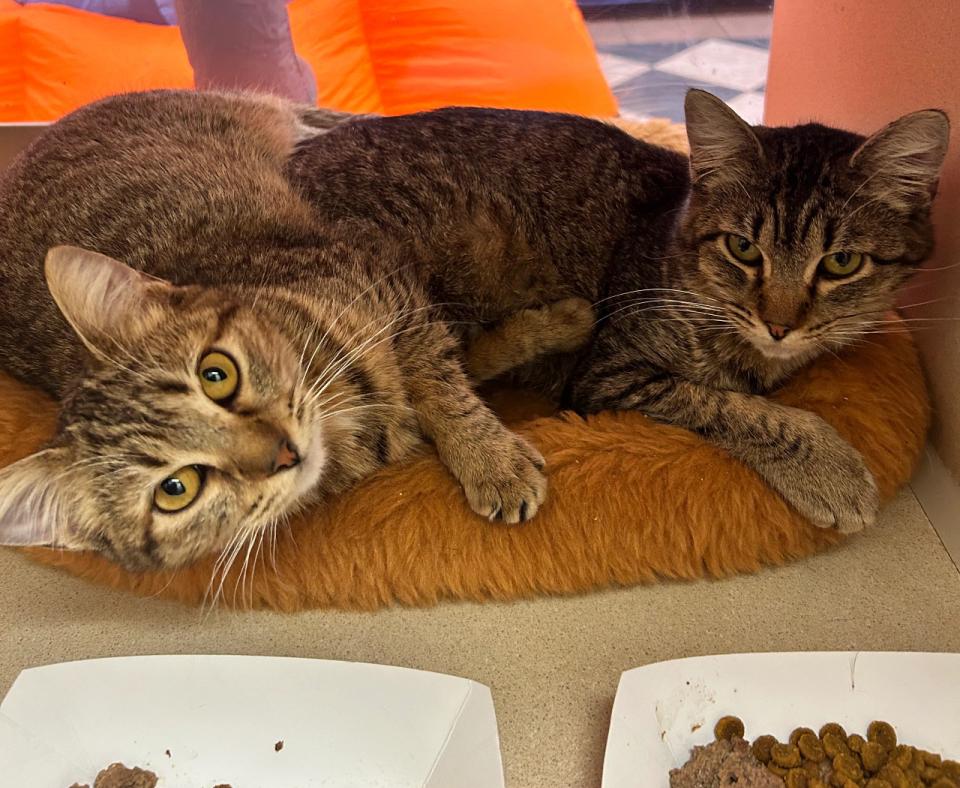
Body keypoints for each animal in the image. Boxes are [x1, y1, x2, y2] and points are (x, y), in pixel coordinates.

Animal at [0, 92, 592, 568]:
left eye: (216, 374)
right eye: (176, 489)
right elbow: (467, 360)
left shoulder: (388, 284)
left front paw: (491, 455)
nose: (282, 453)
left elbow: (443, 384)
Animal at [286, 92, 952, 536]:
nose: (780, 325)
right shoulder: (613, 373)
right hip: (387, 277)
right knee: (432, 365)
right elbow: (739, 408)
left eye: (841, 262)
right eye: (743, 248)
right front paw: (827, 465)